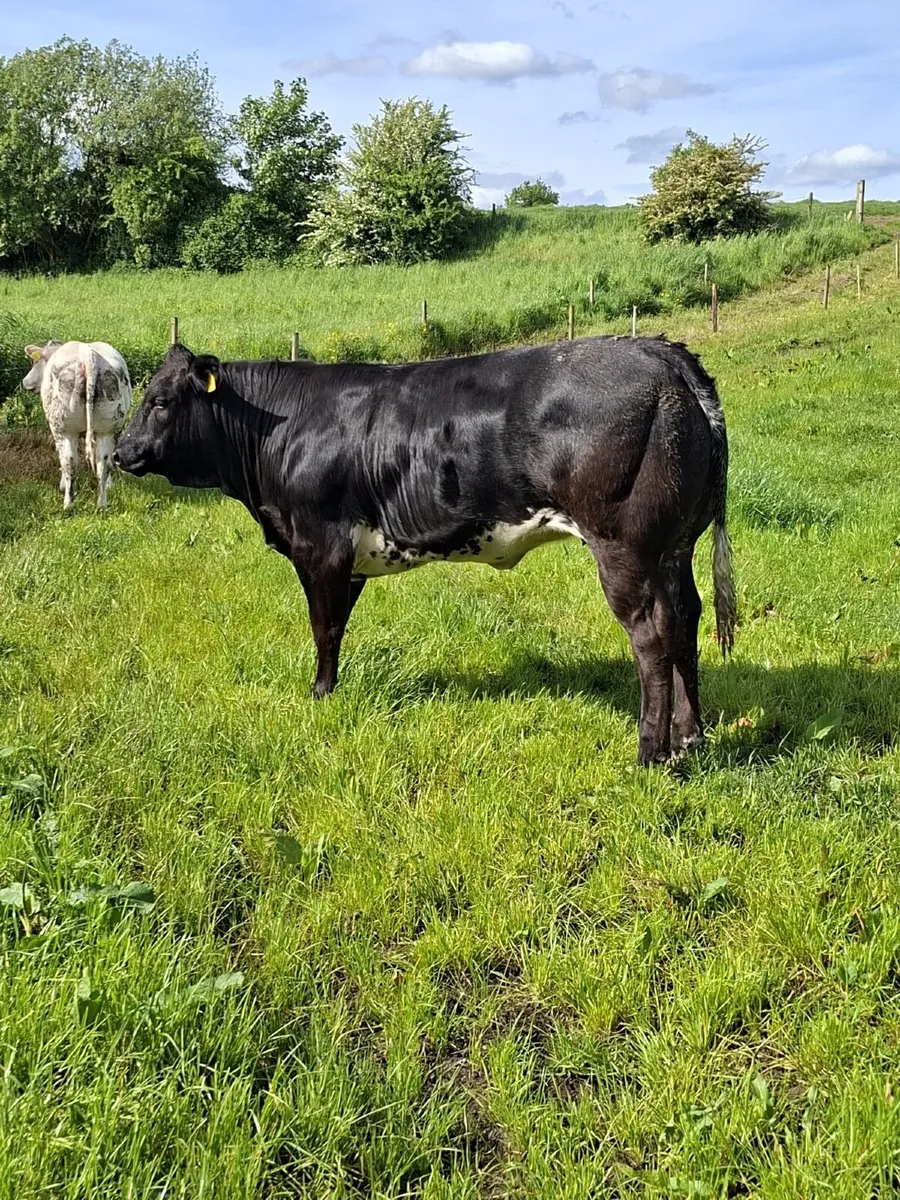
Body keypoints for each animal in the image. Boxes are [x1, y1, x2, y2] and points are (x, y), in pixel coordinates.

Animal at [23, 340, 132, 510]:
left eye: (35, 362)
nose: (25, 382)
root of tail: (88, 353)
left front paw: (62, 484)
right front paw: (110, 485)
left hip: (65, 428)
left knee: (69, 461)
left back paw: (68, 504)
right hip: (108, 427)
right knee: (104, 462)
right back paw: (102, 504)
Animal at [114, 337, 736, 765]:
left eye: (161, 400)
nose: (120, 452)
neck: (280, 429)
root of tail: (660, 353)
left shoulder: (321, 545)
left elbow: (323, 628)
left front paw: (319, 696)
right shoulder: (350, 560)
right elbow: (338, 628)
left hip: (624, 546)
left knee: (651, 635)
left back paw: (651, 751)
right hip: (675, 545)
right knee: (686, 618)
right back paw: (690, 737)